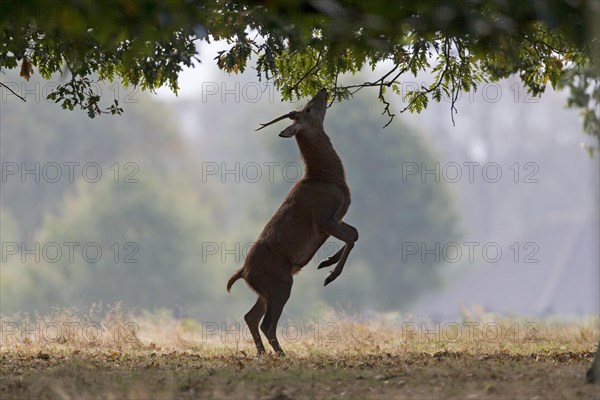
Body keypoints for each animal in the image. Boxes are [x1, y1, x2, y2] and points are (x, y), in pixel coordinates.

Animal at [225, 88, 356, 356]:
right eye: (308, 109)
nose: (323, 90)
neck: (326, 178)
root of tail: (244, 272)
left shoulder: (338, 217)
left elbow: (355, 233)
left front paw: (327, 261)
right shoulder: (324, 219)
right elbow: (351, 237)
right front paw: (330, 274)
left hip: (266, 290)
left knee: (250, 317)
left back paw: (262, 353)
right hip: (282, 283)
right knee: (266, 323)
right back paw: (281, 354)